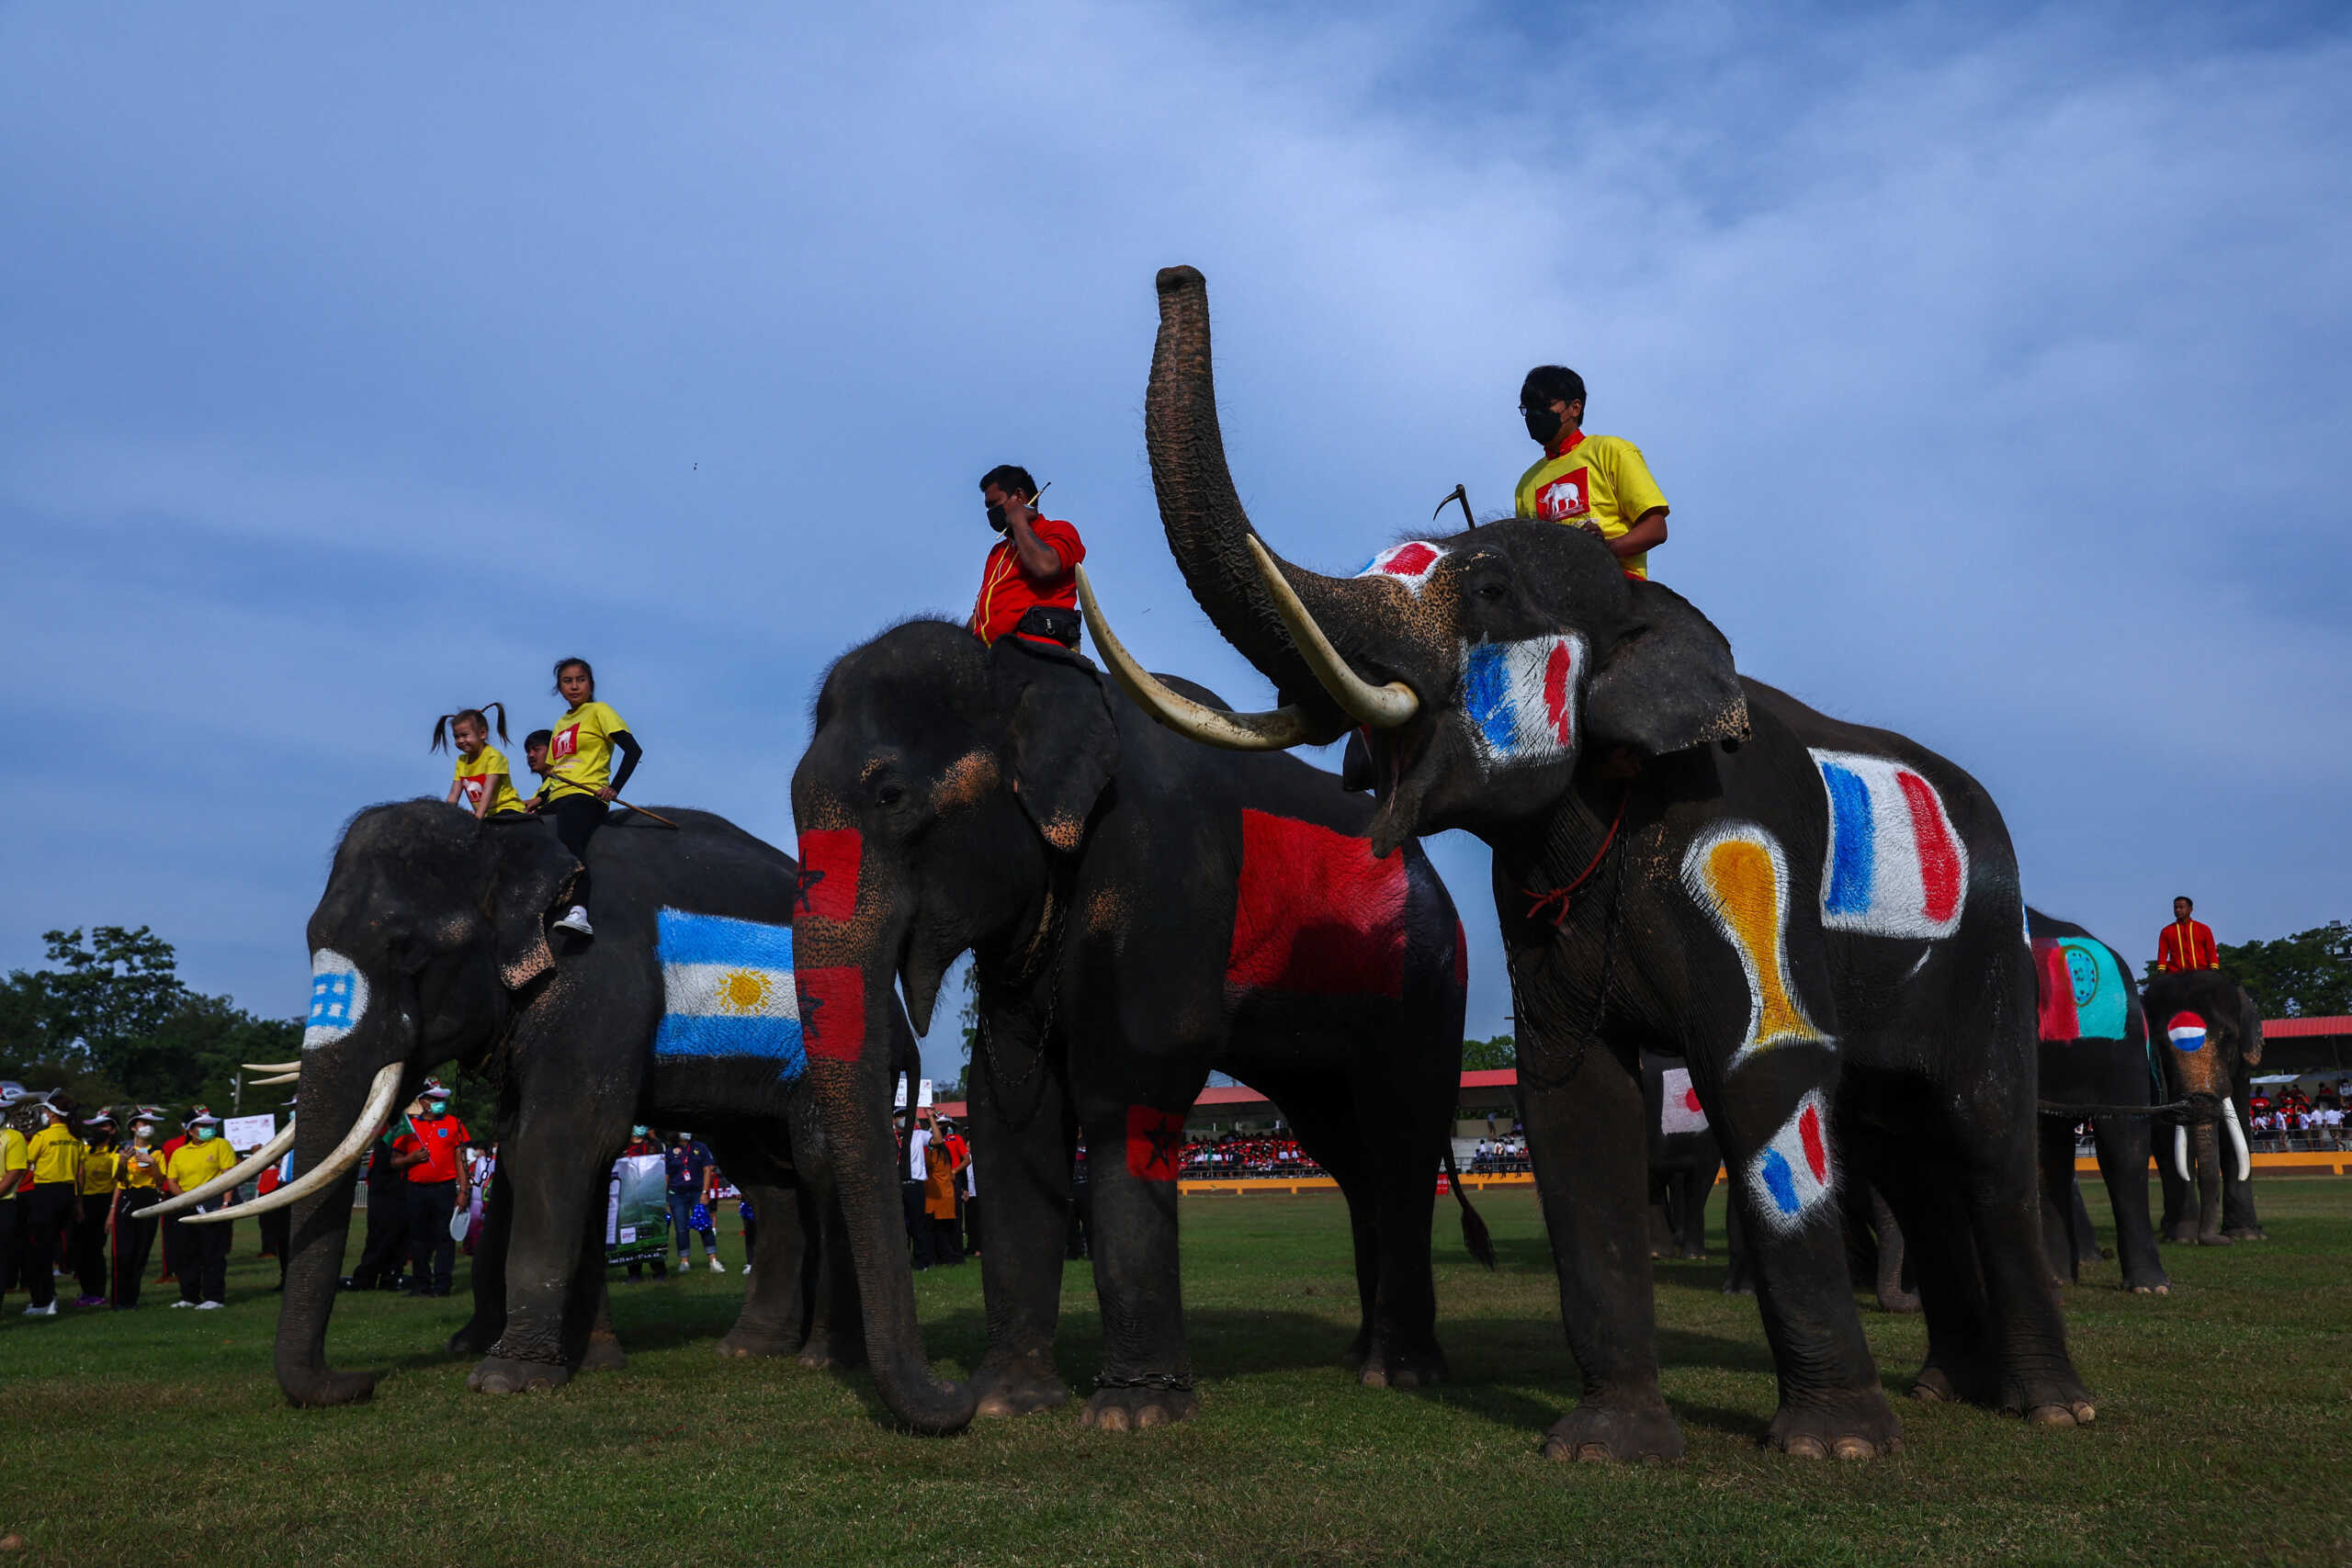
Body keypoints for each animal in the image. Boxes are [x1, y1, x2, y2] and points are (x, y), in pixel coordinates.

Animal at [165, 804, 865, 1401]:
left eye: (405, 946)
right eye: (310, 939)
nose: (357, 1381)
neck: (503, 839)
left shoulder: (598, 976)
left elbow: (565, 1137)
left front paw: (506, 1379)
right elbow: (521, 1148)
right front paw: (572, 1357)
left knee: (818, 1159)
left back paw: (823, 1358)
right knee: (763, 1175)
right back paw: (751, 1348)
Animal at [799, 620, 1476, 1438]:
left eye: (890, 796)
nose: (950, 1392)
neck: (1023, 672)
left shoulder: (1163, 862)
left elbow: (1128, 1087)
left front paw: (1135, 1414)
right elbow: (1006, 1109)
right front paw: (1006, 1400)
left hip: (1427, 977)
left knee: (1401, 1133)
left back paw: (1401, 1372)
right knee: (1348, 1151)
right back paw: (1359, 1356)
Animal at [1081, 266, 2098, 1457]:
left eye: (1485, 593)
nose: (1177, 275)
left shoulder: (1743, 850)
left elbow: (1765, 1075)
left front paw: (1835, 1448)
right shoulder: (1532, 902)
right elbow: (1567, 1100)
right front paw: (1604, 1447)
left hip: (1988, 946)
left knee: (1984, 1139)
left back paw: (2052, 1406)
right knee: (1902, 1147)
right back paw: (1947, 1386)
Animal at [2144, 968, 2267, 1241]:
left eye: (2228, 1038)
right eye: (2161, 1047)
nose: (2215, 1240)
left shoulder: (2239, 1075)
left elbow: (2239, 1133)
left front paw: (2246, 1236)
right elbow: (2167, 1138)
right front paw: (2182, 1238)